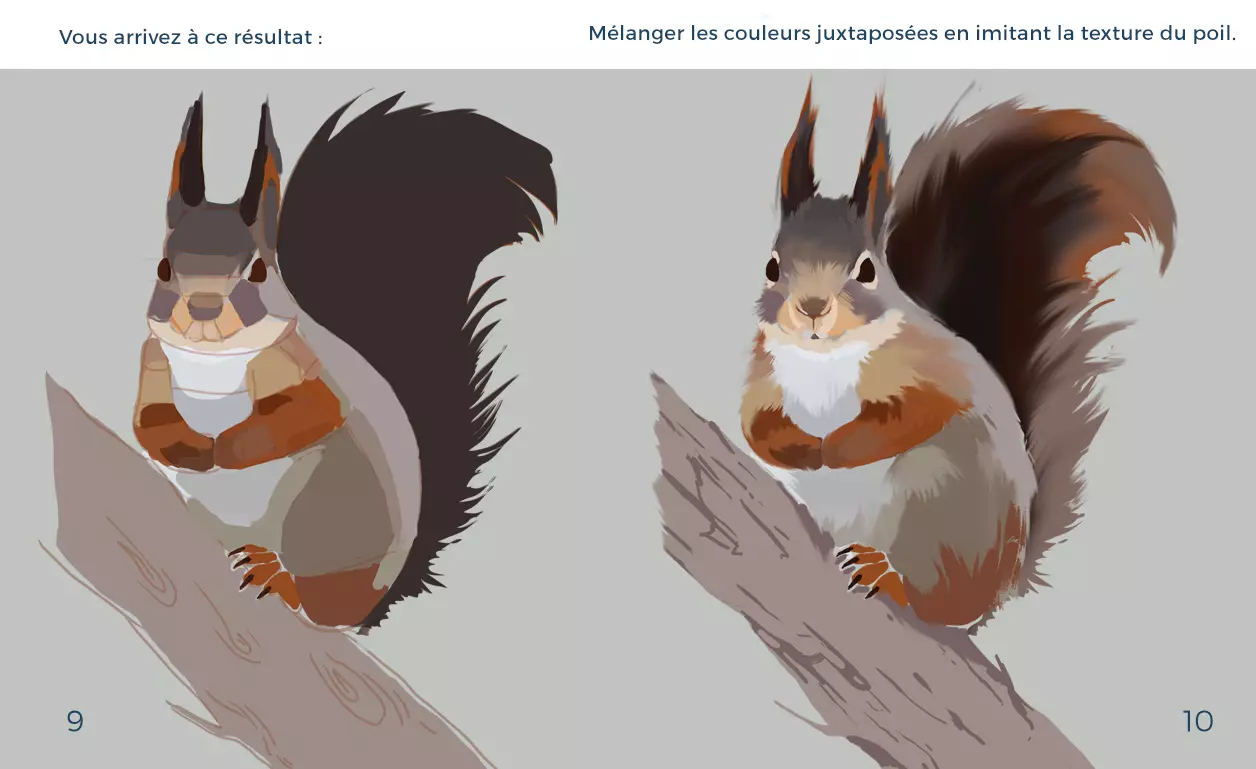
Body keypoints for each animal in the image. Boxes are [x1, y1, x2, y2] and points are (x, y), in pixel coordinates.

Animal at [133, 92, 557, 632]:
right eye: (164, 267)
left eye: (258, 271)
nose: (203, 309)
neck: (212, 358)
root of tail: (379, 599)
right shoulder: (151, 361)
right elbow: (147, 420)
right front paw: (186, 447)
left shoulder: (303, 364)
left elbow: (311, 412)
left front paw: (225, 449)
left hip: (321, 514)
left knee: (324, 602)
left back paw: (280, 576)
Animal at [740, 82, 1175, 628]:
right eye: (772, 267)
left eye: (867, 270)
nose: (812, 309)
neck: (823, 360)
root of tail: (1005, 583)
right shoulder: (763, 372)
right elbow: (753, 425)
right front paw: (796, 446)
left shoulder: (936, 366)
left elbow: (923, 410)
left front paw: (836, 448)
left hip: (936, 496)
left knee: (941, 601)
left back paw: (889, 575)